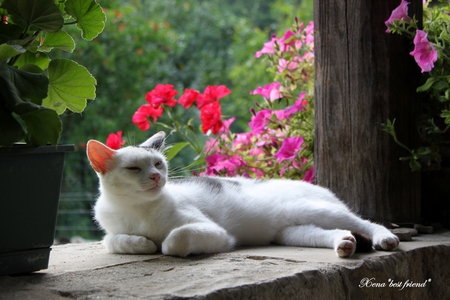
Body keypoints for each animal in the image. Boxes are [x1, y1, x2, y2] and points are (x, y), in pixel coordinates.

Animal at [86, 132, 400, 258]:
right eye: (134, 168)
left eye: (158, 164)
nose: (156, 177)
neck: (137, 210)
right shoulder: (112, 230)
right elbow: (112, 241)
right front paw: (141, 243)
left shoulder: (216, 232)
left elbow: (174, 240)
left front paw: (159, 244)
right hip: (293, 232)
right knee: (336, 232)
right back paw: (344, 245)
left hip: (311, 209)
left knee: (365, 222)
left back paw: (384, 238)